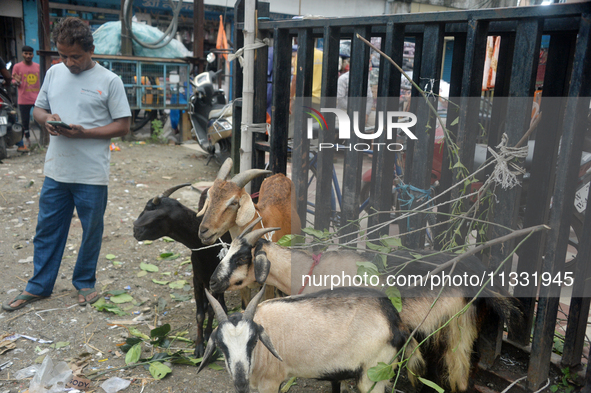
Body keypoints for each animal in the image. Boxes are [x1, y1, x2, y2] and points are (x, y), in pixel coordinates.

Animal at [134, 183, 234, 356]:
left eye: (155, 217)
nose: (135, 231)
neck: (206, 249)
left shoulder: (216, 278)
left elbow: (212, 310)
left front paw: (208, 335)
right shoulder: (197, 278)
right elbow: (200, 314)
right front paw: (199, 346)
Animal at [199, 284, 426, 392]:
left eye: (253, 341)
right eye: (221, 346)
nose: (240, 382)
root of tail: (395, 320)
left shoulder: (270, 383)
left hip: (373, 375)